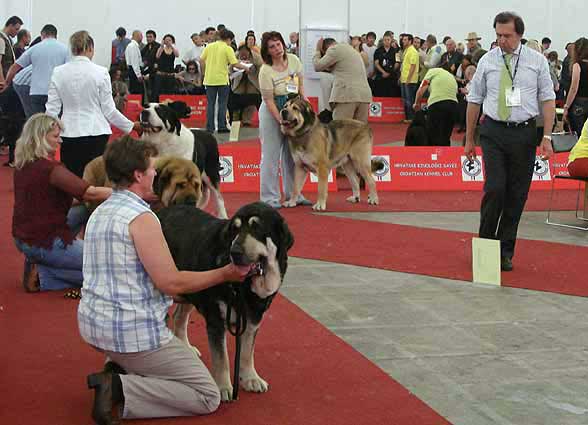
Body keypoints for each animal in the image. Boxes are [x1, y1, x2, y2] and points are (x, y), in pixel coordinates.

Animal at [156, 202, 294, 400]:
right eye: (235, 229)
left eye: (257, 228)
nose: (234, 252)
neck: (245, 287)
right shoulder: (217, 319)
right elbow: (221, 358)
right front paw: (223, 387)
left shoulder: (253, 319)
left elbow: (247, 352)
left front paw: (251, 378)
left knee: (179, 318)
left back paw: (186, 347)